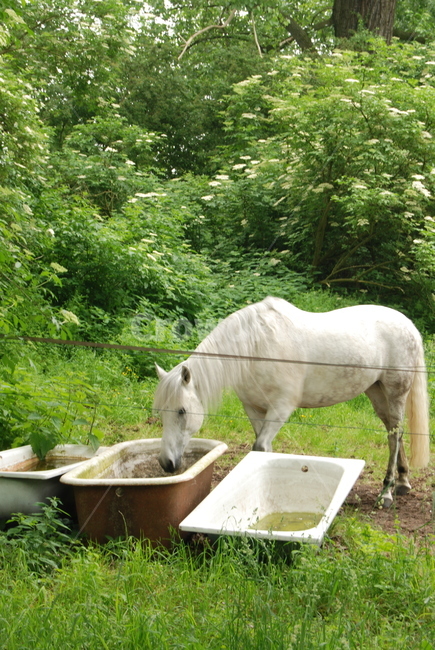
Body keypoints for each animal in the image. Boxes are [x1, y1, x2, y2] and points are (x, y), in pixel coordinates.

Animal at [153, 296, 430, 507]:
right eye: (161, 413)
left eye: (181, 411)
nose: (167, 463)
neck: (255, 347)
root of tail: (408, 325)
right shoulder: (254, 409)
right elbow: (262, 449)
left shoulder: (281, 408)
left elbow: (260, 446)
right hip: (376, 392)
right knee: (394, 431)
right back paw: (403, 481)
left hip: (395, 392)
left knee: (395, 435)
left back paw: (387, 492)